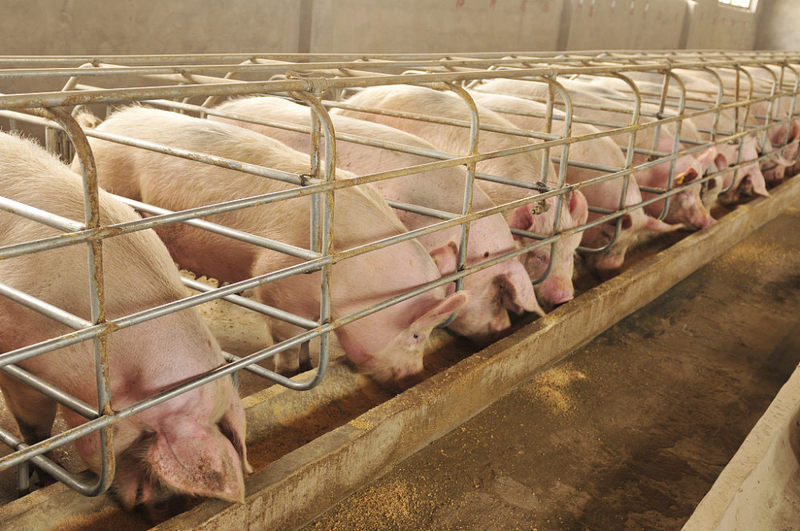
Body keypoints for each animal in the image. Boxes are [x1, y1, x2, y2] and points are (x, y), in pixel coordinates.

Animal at [80, 106, 467, 390]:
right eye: (416, 334)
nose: (415, 376)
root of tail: (102, 125)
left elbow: (307, 339)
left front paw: (308, 362)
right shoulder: (274, 278)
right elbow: (287, 337)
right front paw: (291, 373)